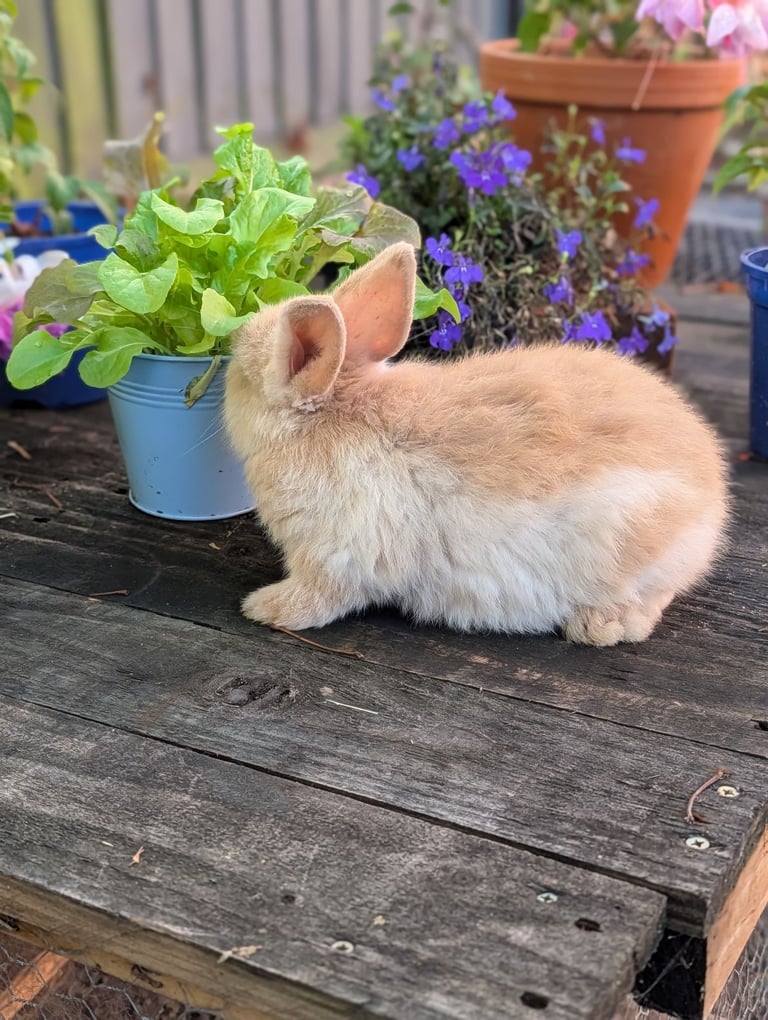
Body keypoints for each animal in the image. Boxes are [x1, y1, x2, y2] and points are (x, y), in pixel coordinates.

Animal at [224, 242, 728, 646]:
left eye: (242, 377)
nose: (225, 374)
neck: (326, 417)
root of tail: (714, 499)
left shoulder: (334, 557)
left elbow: (320, 597)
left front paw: (263, 607)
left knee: (651, 601)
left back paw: (598, 628)